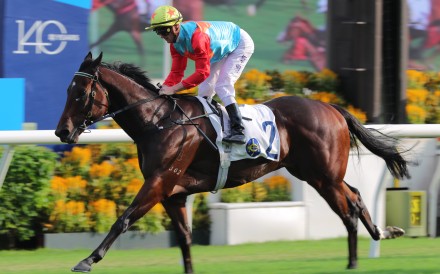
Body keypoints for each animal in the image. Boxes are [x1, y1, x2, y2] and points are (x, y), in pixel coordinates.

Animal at [55, 52, 410, 274]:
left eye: (81, 93)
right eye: (67, 90)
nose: (62, 131)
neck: (158, 121)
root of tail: (331, 107)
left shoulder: (158, 182)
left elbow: (123, 219)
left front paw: (88, 260)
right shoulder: (173, 193)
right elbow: (184, 238)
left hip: (323, 175)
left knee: (348, 206)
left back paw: (355, 258)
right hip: (314, 172)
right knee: (356, 196)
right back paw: (380, 235)